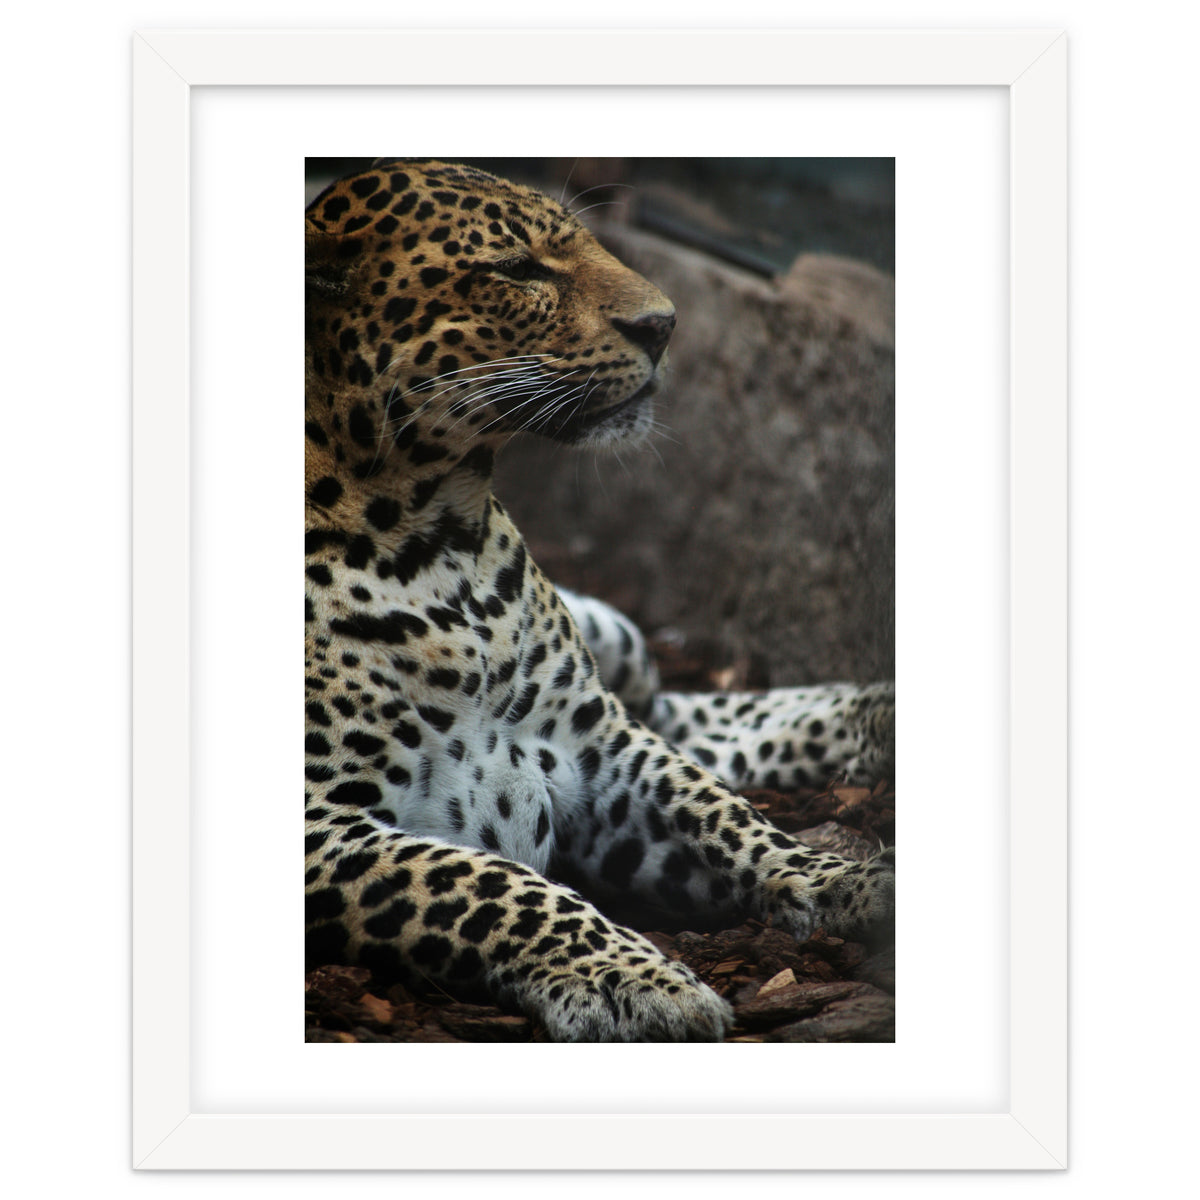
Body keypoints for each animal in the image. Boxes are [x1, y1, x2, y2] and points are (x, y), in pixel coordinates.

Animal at [304, 159, 895, 1041]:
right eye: (517, 269)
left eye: (583, 242)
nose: (665, 324)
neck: (439, 540)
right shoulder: (320, 826)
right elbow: (490, 884)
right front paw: (635, 980)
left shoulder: (598, 746)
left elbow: (724, 814)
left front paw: (846, 881)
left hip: (619, 649)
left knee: (680, 715)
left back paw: (877, 713)